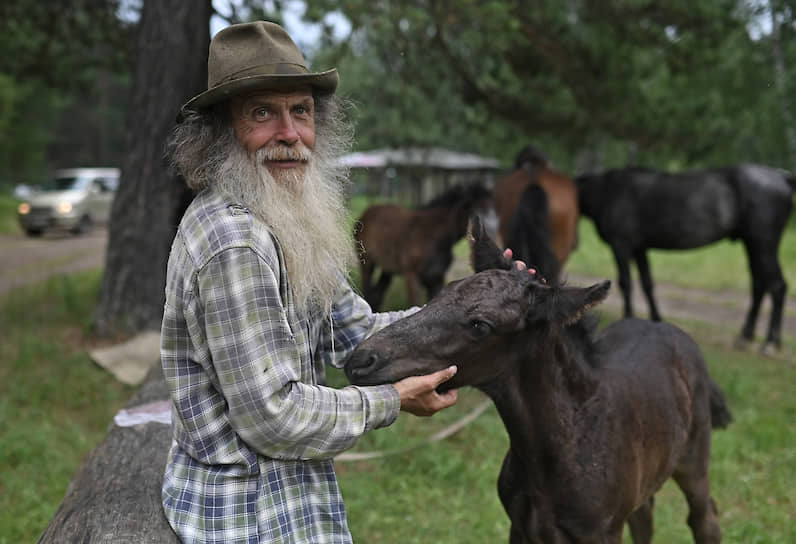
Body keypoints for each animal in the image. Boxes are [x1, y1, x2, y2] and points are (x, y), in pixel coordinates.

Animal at [346, 218, 732, 544]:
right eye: (441, 294)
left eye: (480, 325)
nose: (361, 359)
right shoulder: (520, 529)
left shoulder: (600, 534)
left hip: (694, 458)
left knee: (704, 517)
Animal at [352, 183, 492, 310]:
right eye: (475, 210)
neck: (433, 238)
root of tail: (366, 213)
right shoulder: (411, 275)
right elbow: (414, 302)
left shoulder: (436, 278)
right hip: (367, 263)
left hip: (387, 269)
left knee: (377, 294)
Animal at [576, 164, 792, 354]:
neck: (607, 191)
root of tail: (782, 176)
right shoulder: (639, 249)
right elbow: (647, 284)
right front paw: (656, 319)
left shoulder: (621, 245)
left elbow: (626, 284)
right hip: (752, 245)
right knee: (759, 286)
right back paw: (745, 337)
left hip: (763, 245)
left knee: (777, 286)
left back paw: (770, 343)